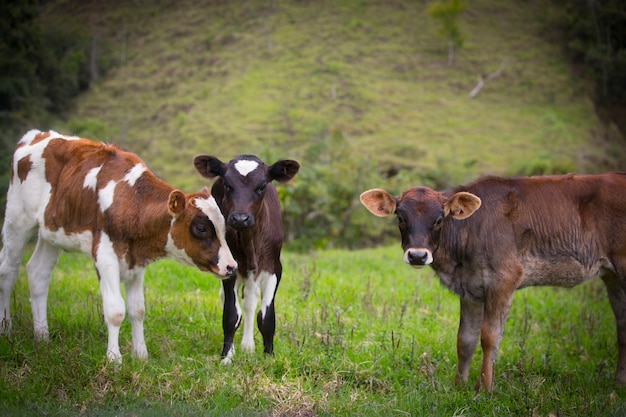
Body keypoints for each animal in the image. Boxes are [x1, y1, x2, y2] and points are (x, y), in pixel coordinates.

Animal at [0, 129, 236, 360]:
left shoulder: (136, 260)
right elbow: (115, 310)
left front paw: (140, 355)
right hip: (17, 219)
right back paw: (6, 330)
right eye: (201, 228)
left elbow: (137, 309)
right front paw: (114, 358)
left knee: (38, 274)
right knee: (8, 271)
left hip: (51, 233)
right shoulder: (105, 256)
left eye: (223, 226)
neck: (132, 200)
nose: (231, 266)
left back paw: (42, 338)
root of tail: (36, 134)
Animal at [193, 153, 298, 360]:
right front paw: (226, 356)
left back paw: (248, 346)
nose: (240, 219)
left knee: (250, 299)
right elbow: (231, 314)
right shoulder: (229, 267)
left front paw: (268, 355)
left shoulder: (274, 268)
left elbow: (266, 316)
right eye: (227, 185)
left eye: (262, 186)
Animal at [358, 171, 624, 390]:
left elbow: (489, 337)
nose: (417, 255)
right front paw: (459, 385)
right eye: (400, 218)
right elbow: (464, 339)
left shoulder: (504, 279)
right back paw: (618, 382)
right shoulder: (470, 287)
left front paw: (483, 388)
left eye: (439, 220)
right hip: (612, 276)